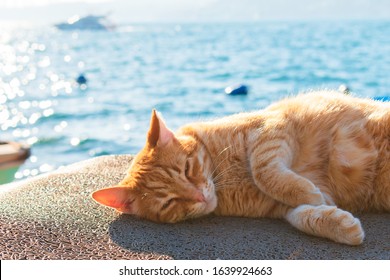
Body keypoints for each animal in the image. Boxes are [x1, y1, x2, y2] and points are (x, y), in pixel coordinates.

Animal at [92, 91, 390, 245]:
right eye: (168, 203)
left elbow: (264, 172)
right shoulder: (280, 209)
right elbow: (302, 215)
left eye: (187, 169)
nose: (200, 196)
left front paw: (307, 192)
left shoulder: (272, 127)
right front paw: (338, 224)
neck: (225, 176)